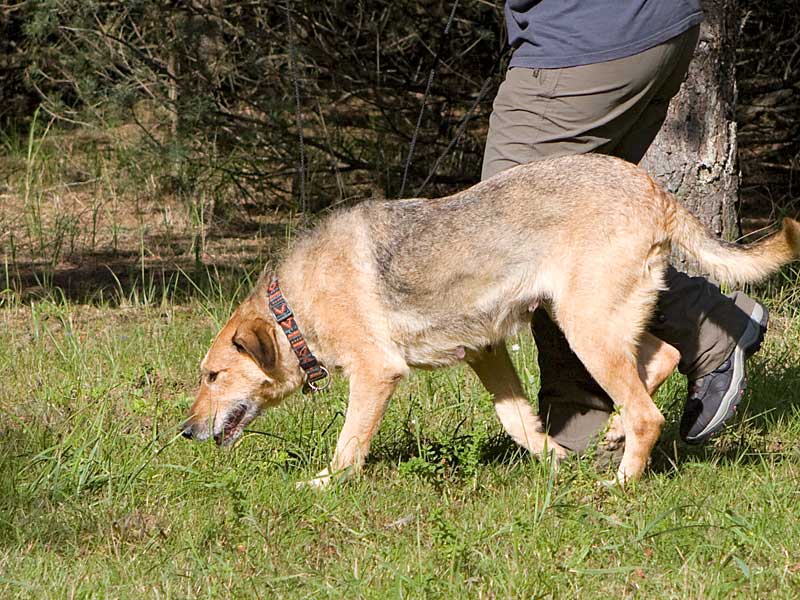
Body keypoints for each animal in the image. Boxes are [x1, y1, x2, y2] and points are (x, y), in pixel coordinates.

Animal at [182, 154, 800, 486]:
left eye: (212, 376)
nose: (185, 433)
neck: (293, 310)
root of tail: (654, 191)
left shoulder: (376, 374)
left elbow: (348, 445)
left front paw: (327, 484)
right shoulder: (485, 352)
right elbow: (518, 422)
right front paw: (553, 458)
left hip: (584, 326)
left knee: (649, 412)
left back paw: (621, 481)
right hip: (594, 319)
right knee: (662, 360)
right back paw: (615, 433)